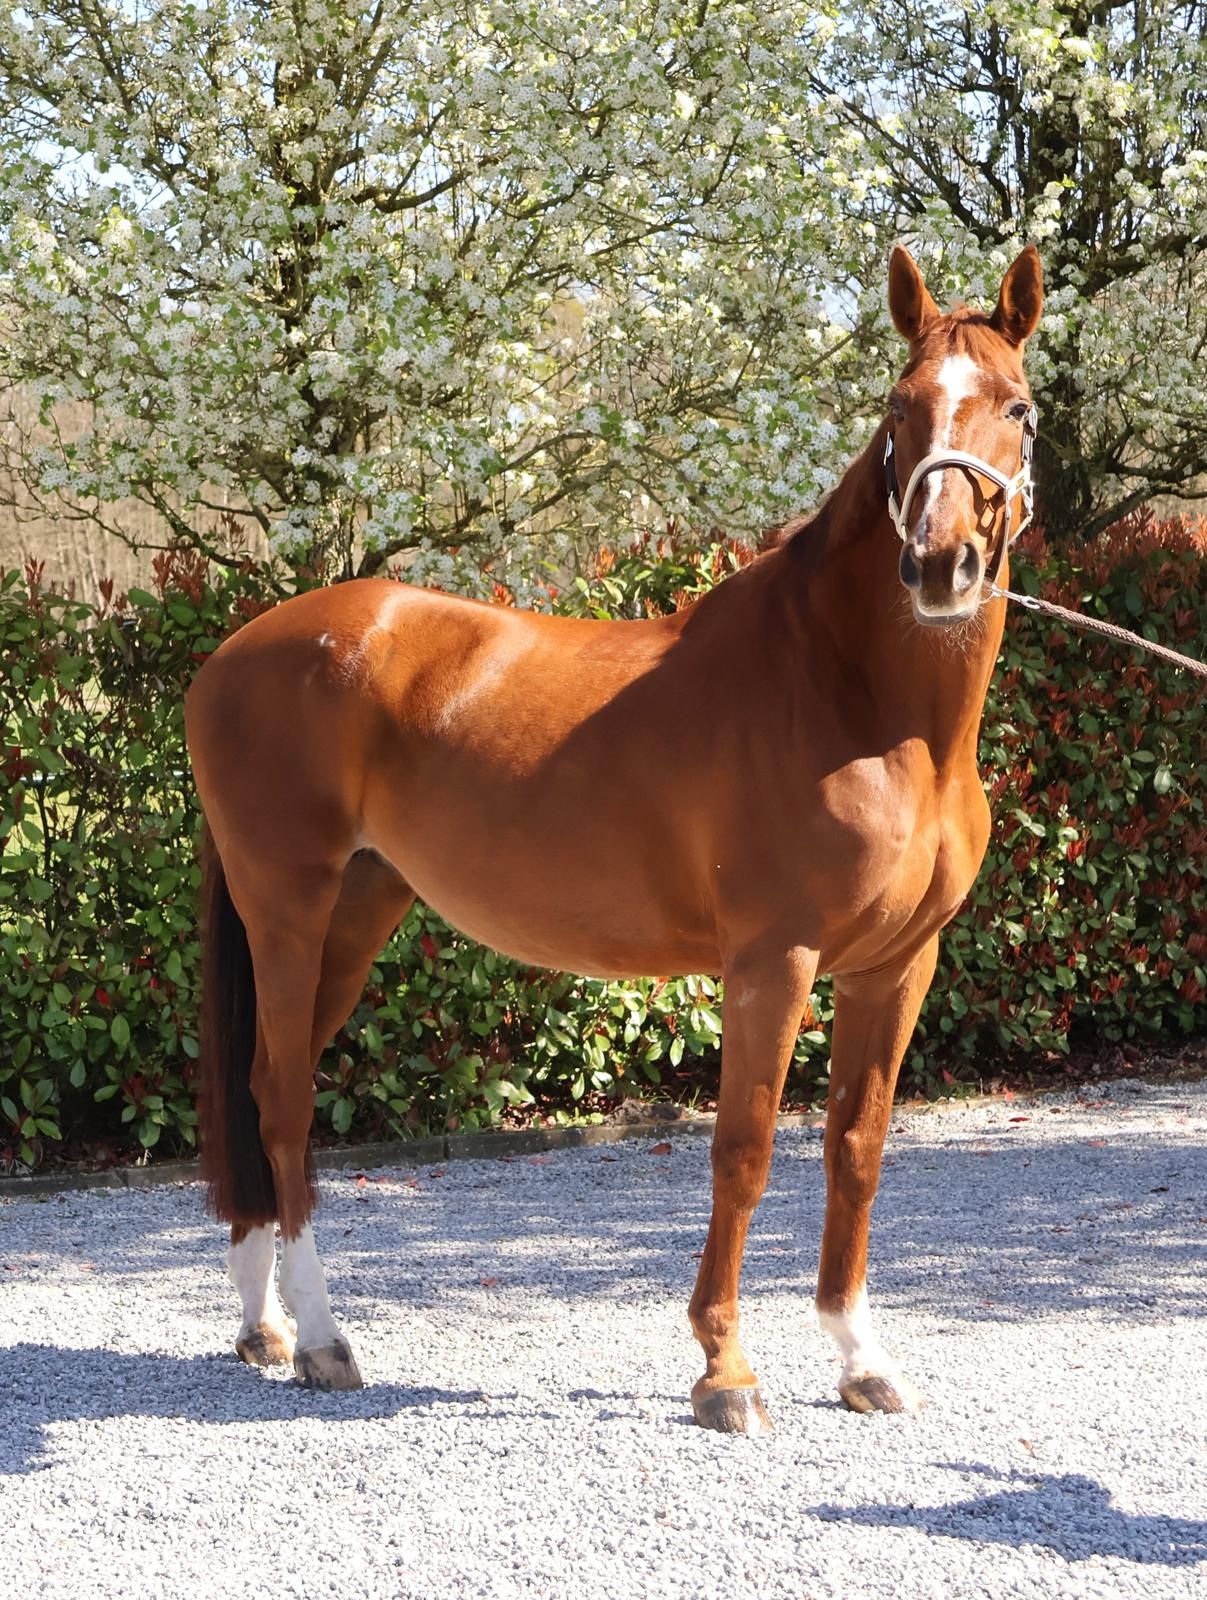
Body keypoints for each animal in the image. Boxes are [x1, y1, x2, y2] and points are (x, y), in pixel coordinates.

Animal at [186, 244, 1044, 1433]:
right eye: (896, 409)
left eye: (1016, 408)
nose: (940, 564)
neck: (863, 702)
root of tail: (230, 655)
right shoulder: (771, 961)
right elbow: (743, 1150)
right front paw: (725, 1370)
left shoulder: (895, 967)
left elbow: (856, 1149)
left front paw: (857, 1356)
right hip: (288, 907)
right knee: (280, 1099)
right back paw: (320, 1338)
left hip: (356, 912)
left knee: (274, 1087)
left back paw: (262, 1325)